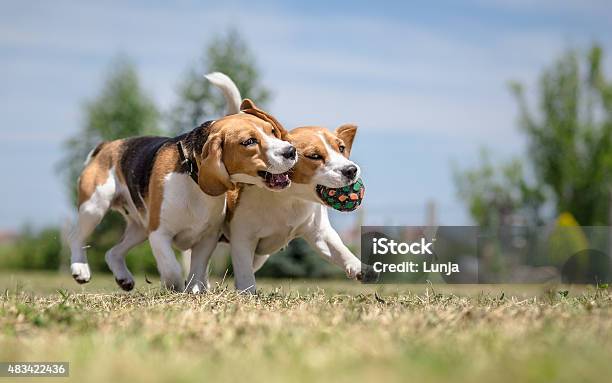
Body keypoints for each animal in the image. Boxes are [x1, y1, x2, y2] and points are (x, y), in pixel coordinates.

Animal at [69, 73, 296, 292]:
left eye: (272, 131)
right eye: (248, 142)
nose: (291, 151)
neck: (192, 179)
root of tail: (108, 145)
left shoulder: (207, 238)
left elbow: (197, 268)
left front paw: (194, 290)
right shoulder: (159, 234)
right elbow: (172, 269)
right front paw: (174, 287)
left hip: (139, 227)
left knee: (112, 252)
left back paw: (124, 278)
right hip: (95, 206)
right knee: (76, 237)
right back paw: (80, 269)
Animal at [207, 74, 378, 294]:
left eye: (341, 148)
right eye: (314, 156)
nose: (351, 170)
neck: (289, 198)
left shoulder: (319, 233)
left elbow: (339, 249)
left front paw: (360, 268)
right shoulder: (243, 239)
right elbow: (244, 273)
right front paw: (248, 293)